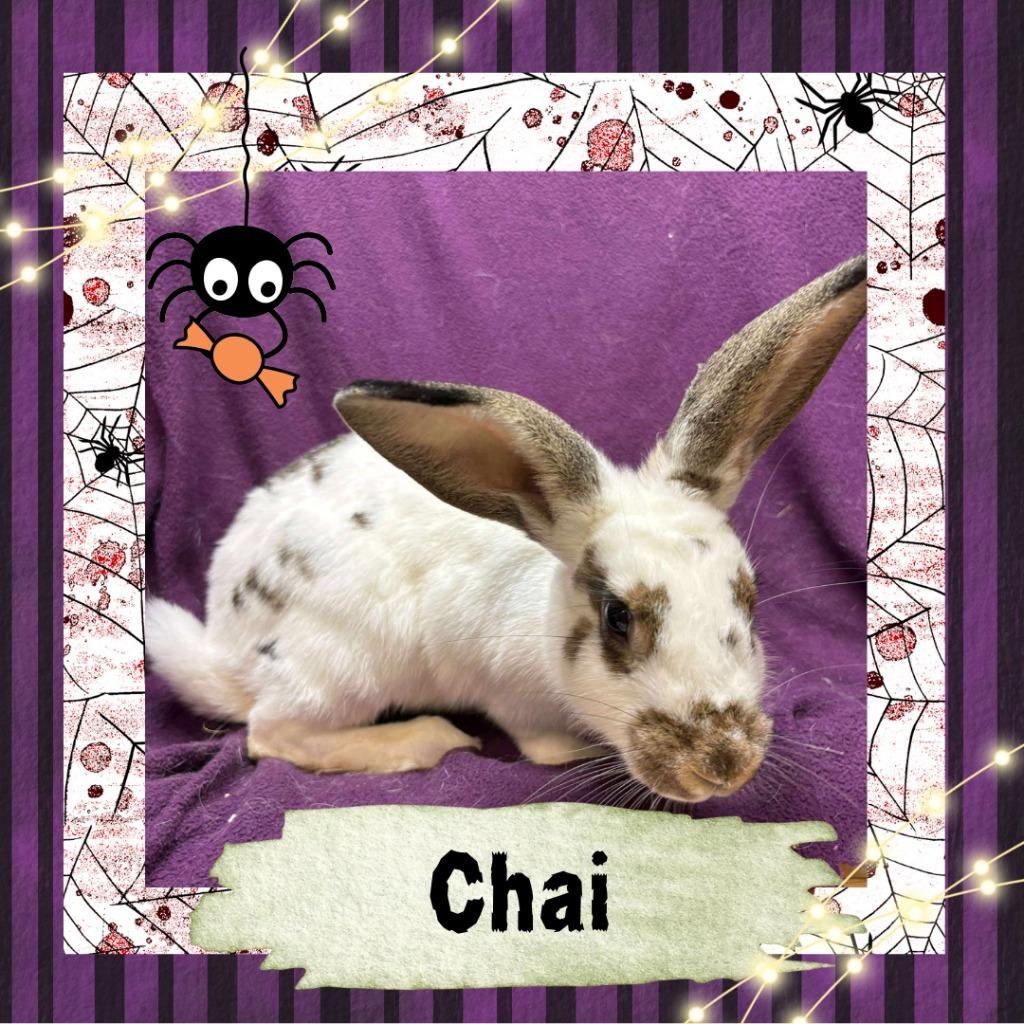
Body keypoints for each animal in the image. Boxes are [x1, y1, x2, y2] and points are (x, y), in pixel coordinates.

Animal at [147, 254, 866, 803]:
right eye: (617, 618)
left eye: (748, 600)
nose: (723, 767)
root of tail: (226, 646)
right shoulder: (508, 694)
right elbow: (540, 746)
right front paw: (567, 751)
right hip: (346, 662)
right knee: (271, 733)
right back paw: (428, 739)